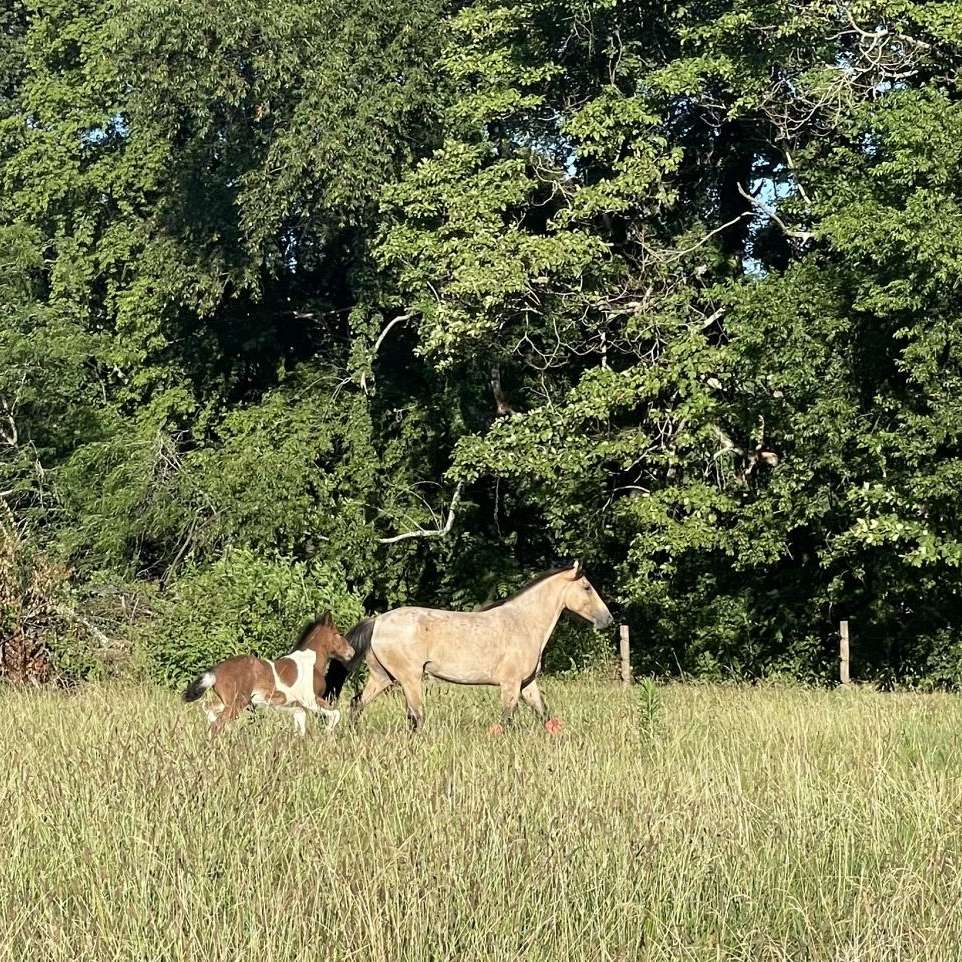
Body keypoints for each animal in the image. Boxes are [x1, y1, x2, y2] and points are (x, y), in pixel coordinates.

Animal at [182, 612, 354, 740]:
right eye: (339, 634)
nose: (351, 652)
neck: (311, 662)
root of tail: (216, 671)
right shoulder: (311, 699)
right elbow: (336, 714)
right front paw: (328, 733)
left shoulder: (289, 704)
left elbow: (300, 718)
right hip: (237, 703)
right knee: (217, 725)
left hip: (226, 702)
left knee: (208, 709)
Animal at [326, 560, 612, 732]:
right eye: (587, 587)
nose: (607, 619)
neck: (524, 623)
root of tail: (378, 620)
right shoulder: (510, 684)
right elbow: (507, 719)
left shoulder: (528, 684)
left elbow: (544, 714)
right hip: (410, 678)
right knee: (416, 716)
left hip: (383, 676)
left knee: (357, 703)